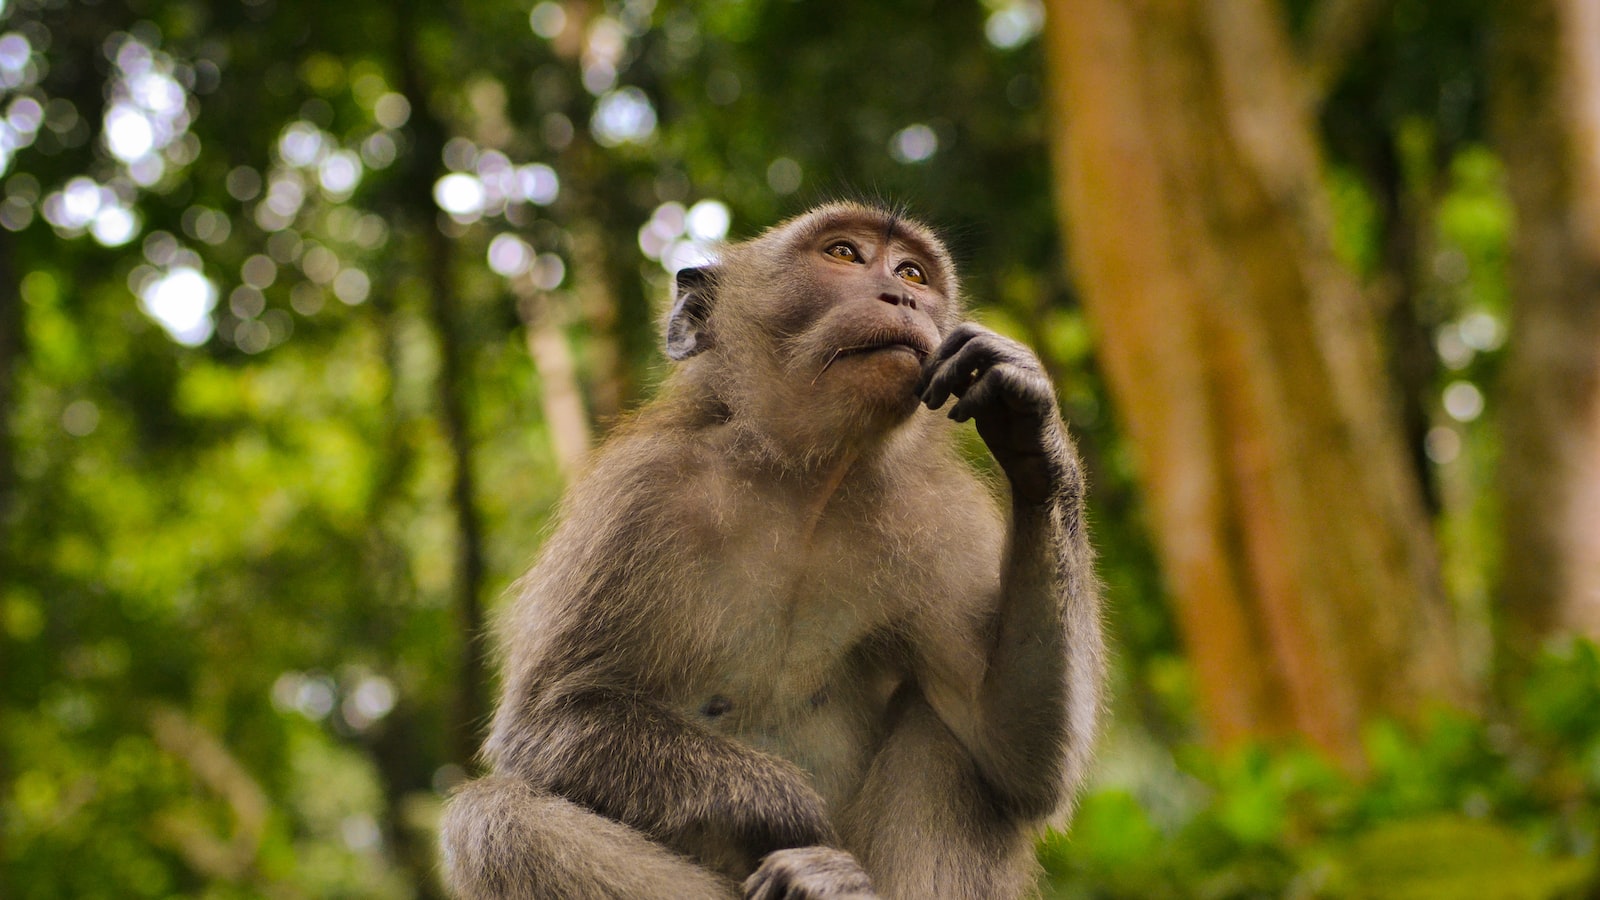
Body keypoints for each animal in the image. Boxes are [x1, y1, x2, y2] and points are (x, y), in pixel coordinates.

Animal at [444, 203, 1107, 896]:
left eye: (912, 272)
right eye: (843, 254)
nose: (901, 296)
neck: (805, 483)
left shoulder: (940, 519)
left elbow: (1013, 755)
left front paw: (1029, 423)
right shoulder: (638, 496)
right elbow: (548, 721)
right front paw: (793, 811)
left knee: (944, 732)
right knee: (496, 818)